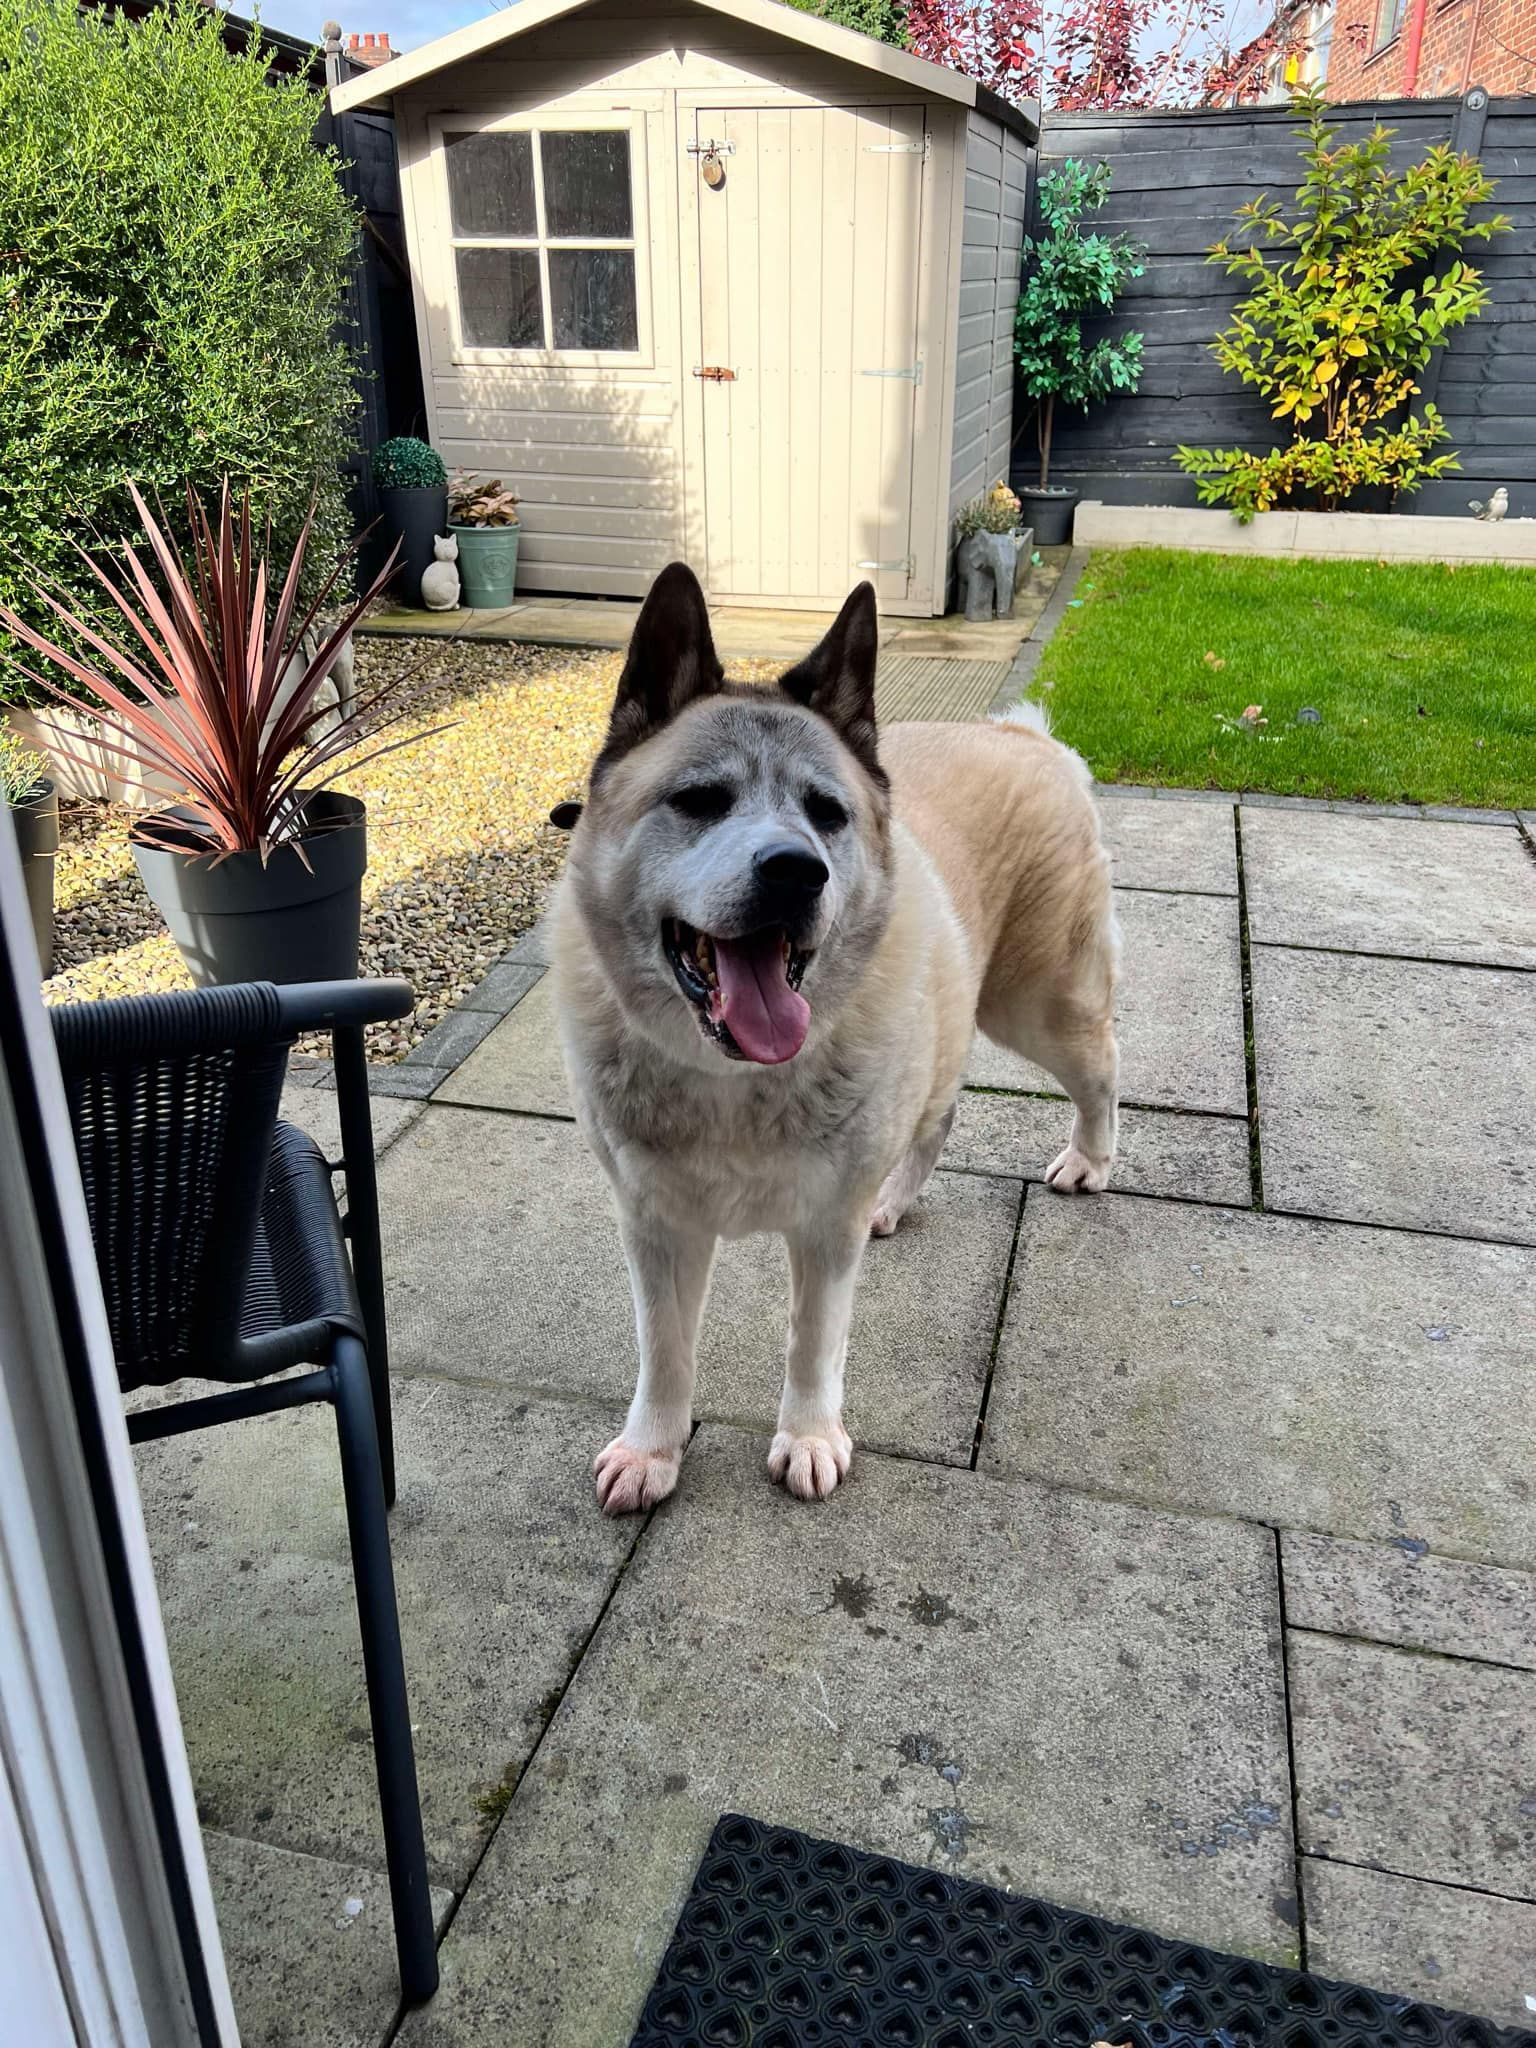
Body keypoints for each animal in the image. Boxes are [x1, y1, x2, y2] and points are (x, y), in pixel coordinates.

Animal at [552, 563, 1118, 1515]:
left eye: (827, 813)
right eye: (699, 801)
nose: (795, 871)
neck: (734, 1077)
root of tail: (1020, 735)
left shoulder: (823, 1231)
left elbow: (813, 1342)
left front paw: (810, 1436)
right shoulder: (656, 1226)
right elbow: (664, 1352)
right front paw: (653, 1448)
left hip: (1038, 1005)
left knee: (1102, 1071)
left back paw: (1090, 1159)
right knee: (938, 1116)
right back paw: (897, 1196)